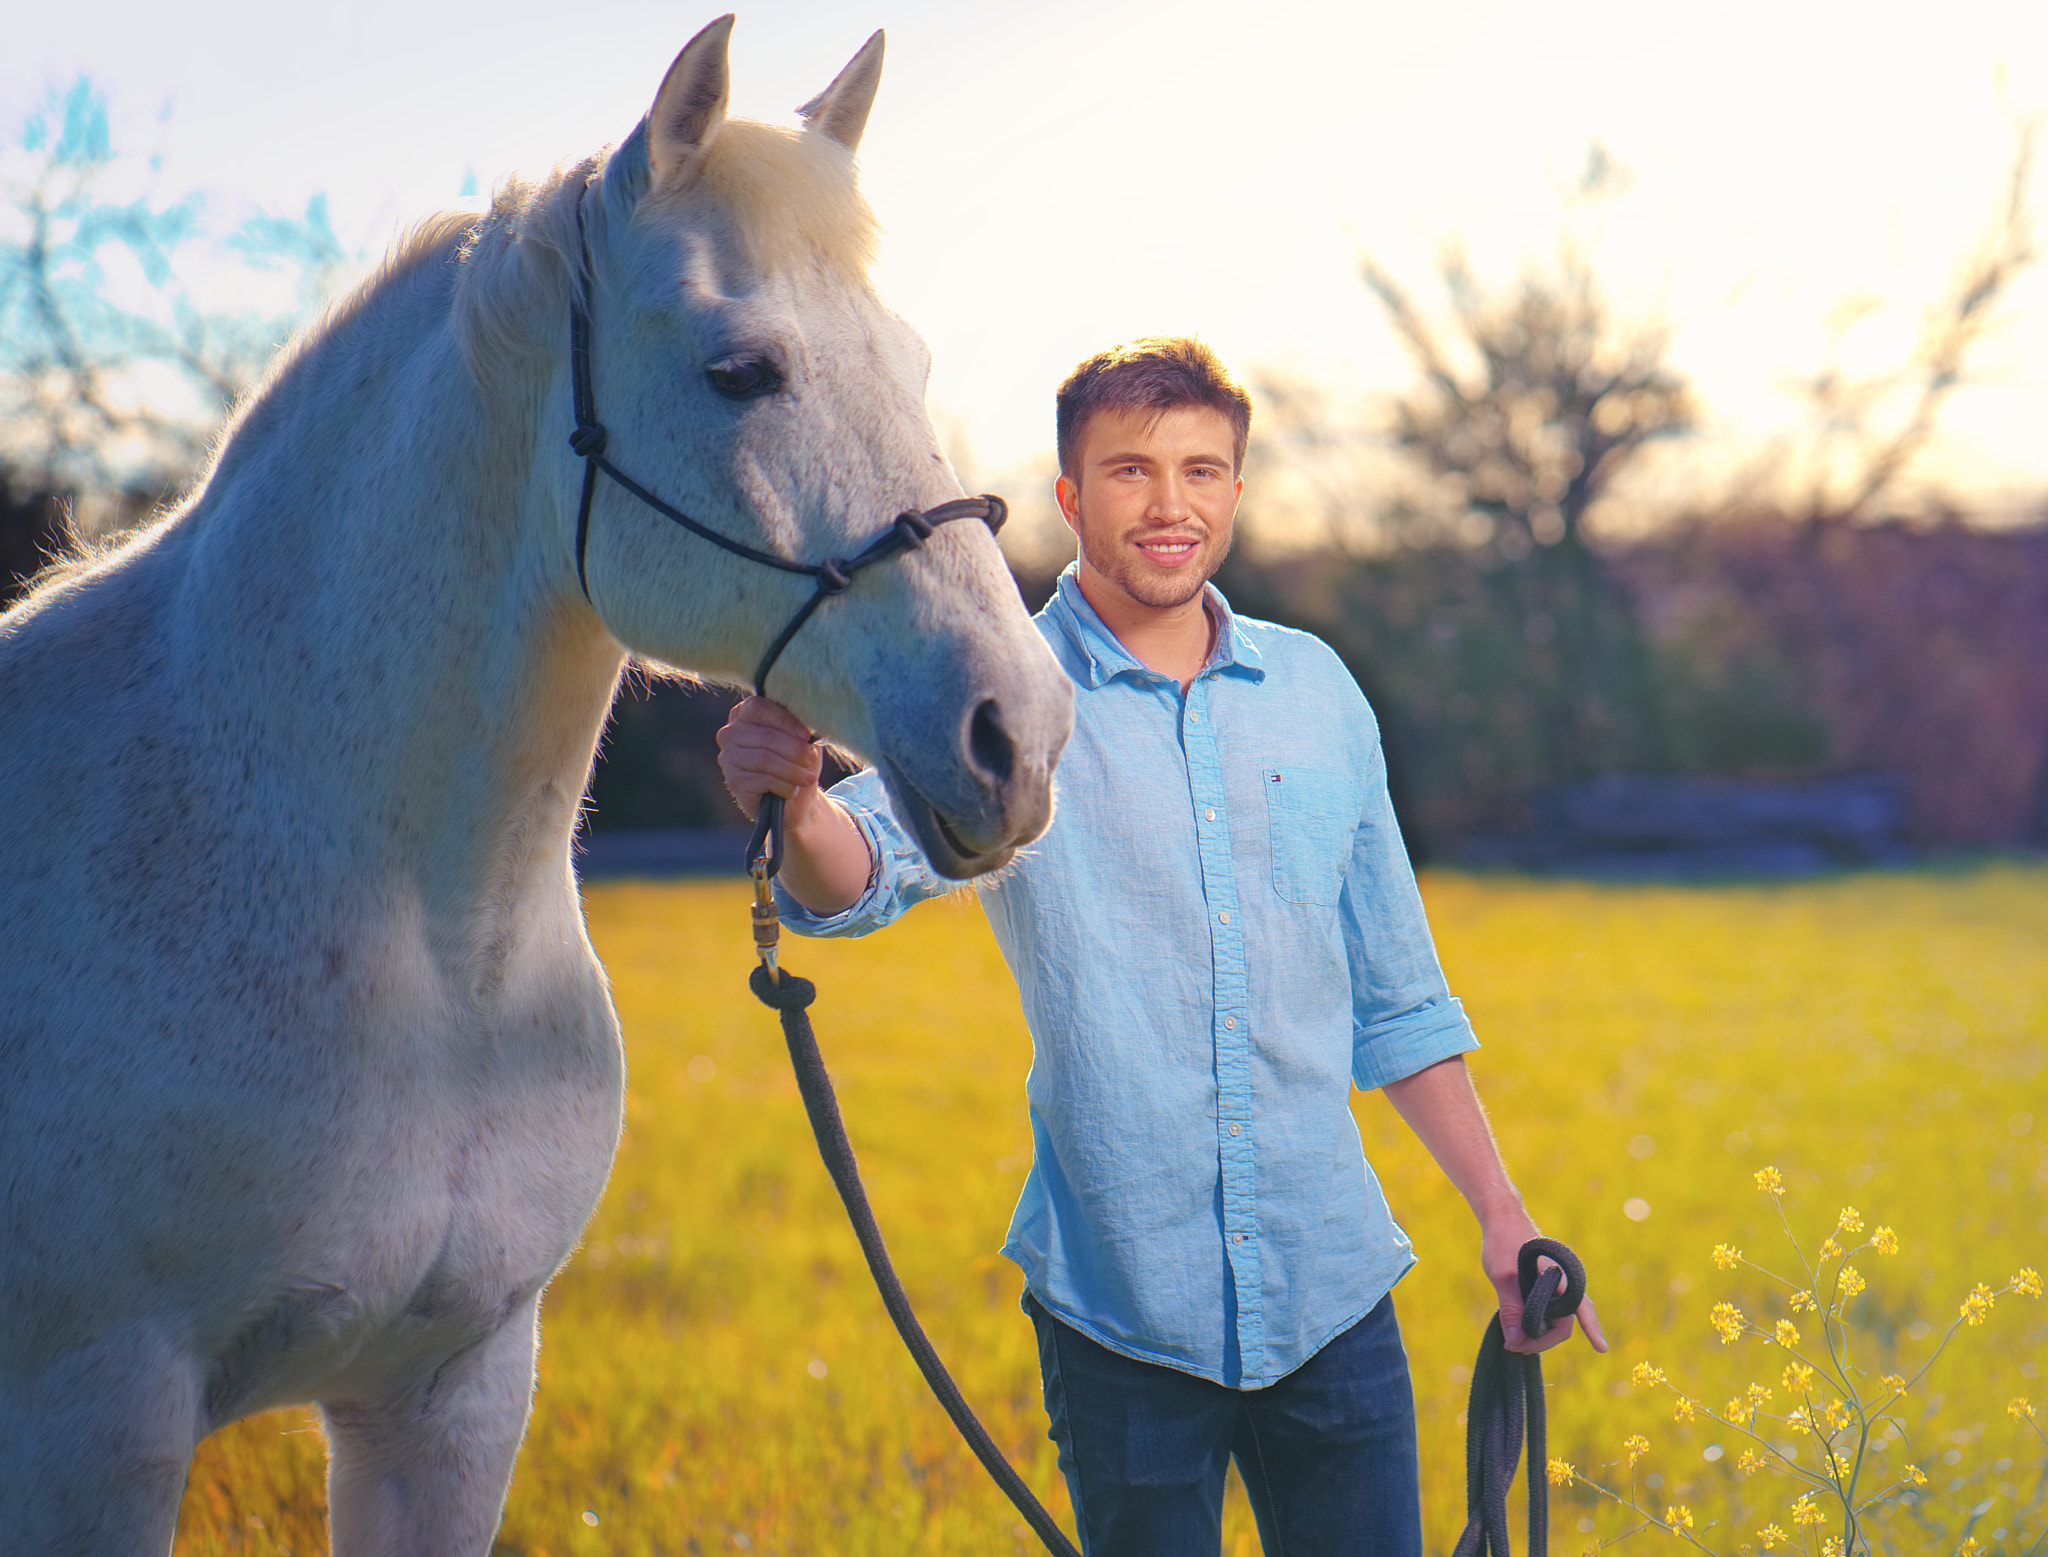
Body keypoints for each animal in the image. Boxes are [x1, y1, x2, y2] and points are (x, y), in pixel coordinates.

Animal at [0, 18, 1064, 1548]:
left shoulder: (453, 1393)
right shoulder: (96, 1415)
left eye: (912, 361)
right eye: (741, 371)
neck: (432, 952)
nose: (1018, 733)